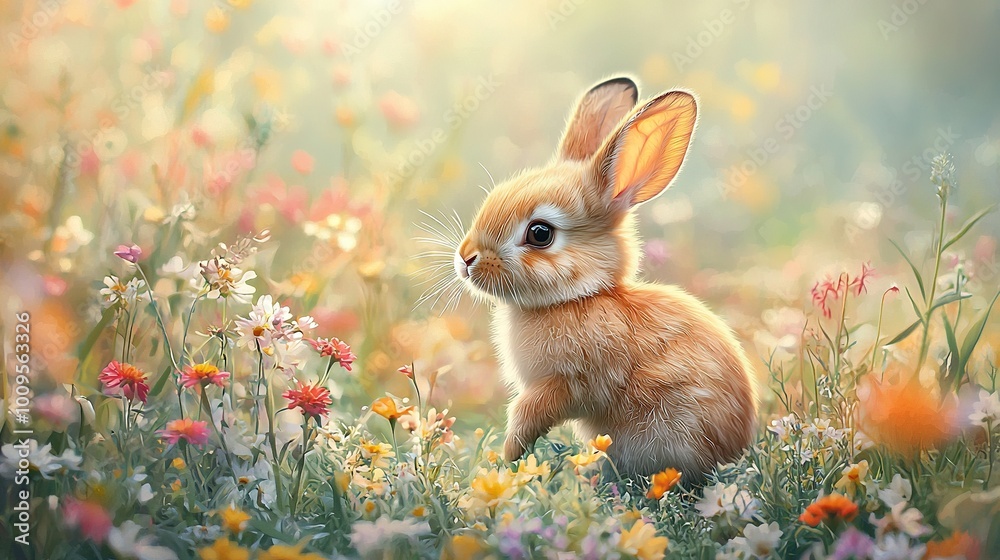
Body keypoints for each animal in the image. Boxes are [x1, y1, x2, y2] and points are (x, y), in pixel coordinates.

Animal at [453, 76, 757, 480]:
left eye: (540, 233)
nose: (466, 258)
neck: (580, 298)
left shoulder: (572, 383)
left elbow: (530, 412)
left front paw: (510, 455)